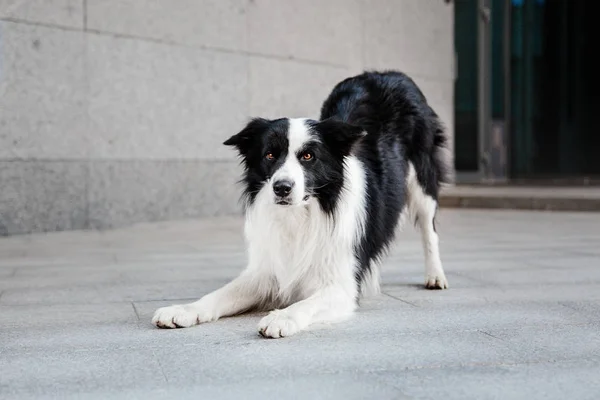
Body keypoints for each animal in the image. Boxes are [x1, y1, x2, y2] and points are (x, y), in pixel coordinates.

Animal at [152, 71, 452, 338]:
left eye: (308, 156)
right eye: (270, 155)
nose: (281, 188)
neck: (300, 215)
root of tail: (388, 73)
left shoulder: (341, 286)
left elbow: (307, 303)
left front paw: (282, 317)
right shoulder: (266, 271)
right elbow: (220, 294)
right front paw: (183, 310)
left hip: (422, 179)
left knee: (430, 230)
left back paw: (435, 275)